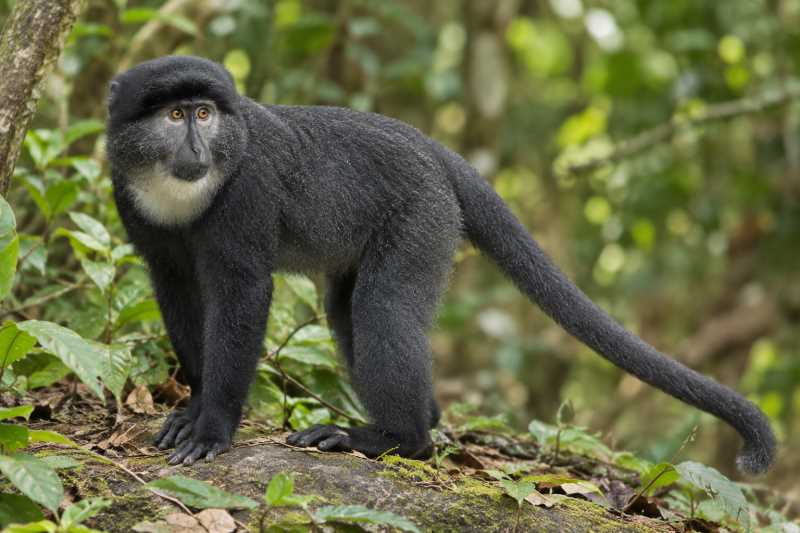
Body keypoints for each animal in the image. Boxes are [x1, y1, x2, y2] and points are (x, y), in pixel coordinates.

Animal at [106, 55, 776, 473]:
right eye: (174, 115)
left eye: (204, 114)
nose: (197, 144)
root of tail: (430, 149)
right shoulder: (130, 199)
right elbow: (177, 288)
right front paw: (190, 408)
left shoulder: (247, 191)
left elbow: (242, 296)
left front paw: (212, 428)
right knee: (347, 310)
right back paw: (412, 423)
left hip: (422, 220)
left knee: (381, 310)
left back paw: (396, 439)